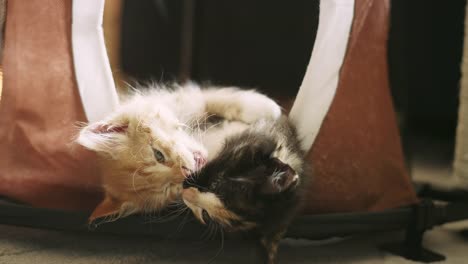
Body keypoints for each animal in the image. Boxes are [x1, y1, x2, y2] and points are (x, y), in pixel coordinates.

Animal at [77, 82, 282, 221]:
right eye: (167, 190)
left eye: (158, 155)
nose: (187, 172)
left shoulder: (182, 100)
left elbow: (211, 100)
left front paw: (265, 107)